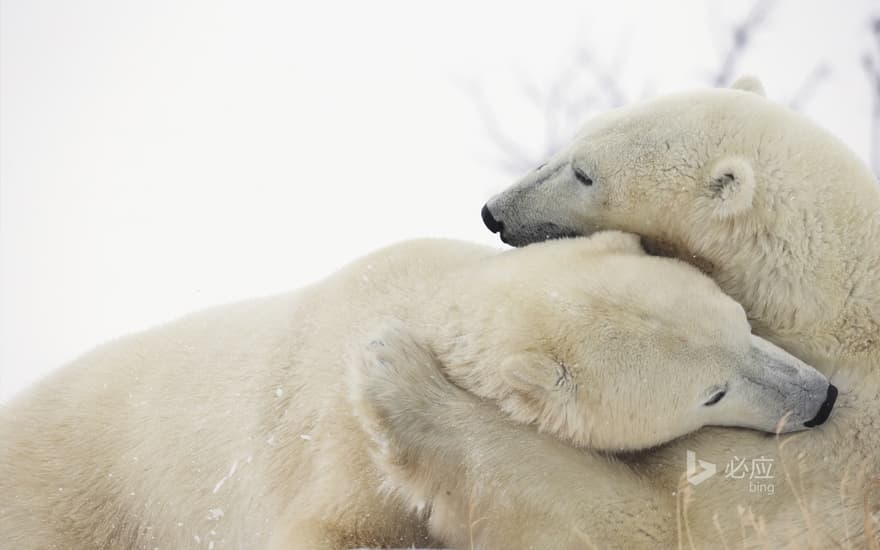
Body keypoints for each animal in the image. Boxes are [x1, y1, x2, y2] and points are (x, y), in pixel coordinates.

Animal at [0, 234, 832, 550]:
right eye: (710, 393)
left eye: (740, 323)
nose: (821, 397)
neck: (422, 298)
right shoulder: (342, 446)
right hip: (75, 505)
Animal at [372, 78, 880, 550]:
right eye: (574, 138)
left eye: (584, 174)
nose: (493, 213)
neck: (832, 306)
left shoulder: (826, 465)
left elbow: (643, 519)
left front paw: (400, 375)